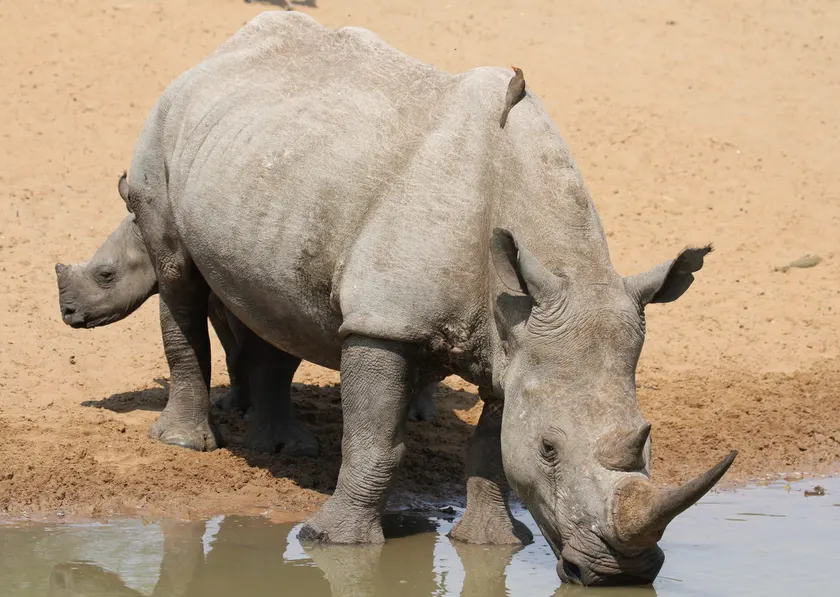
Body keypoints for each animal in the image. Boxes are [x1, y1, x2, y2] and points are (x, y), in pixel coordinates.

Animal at [54, 213, 439, 455]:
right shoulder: (220, 295)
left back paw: (419, 415)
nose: (67, 313)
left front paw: (251, 413)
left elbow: (256, 351)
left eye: (106, 275)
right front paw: (235, 406)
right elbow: (234, 352)